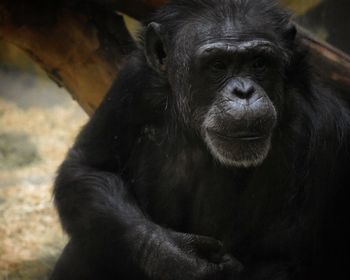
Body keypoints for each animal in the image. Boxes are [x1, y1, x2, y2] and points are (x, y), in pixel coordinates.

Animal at [50, 0, 350, 280]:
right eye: (218, 65)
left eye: (259, 64)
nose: (244, 91)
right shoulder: (134, 83)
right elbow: (88, 168)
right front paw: (178, 258)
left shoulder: (324, 129)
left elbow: (283, 261)